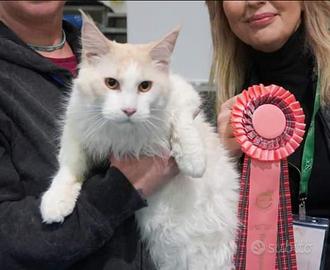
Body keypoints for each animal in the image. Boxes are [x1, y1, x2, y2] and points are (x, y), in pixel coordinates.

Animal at [40, 14, 238, 270]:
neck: (126, 133)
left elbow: (183, 124)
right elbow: (69, 168)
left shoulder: (185, 95)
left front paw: (193, 160)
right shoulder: (76, 127)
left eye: (145, 86)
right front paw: (56, 201)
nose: (129, 110)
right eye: (111, 83)